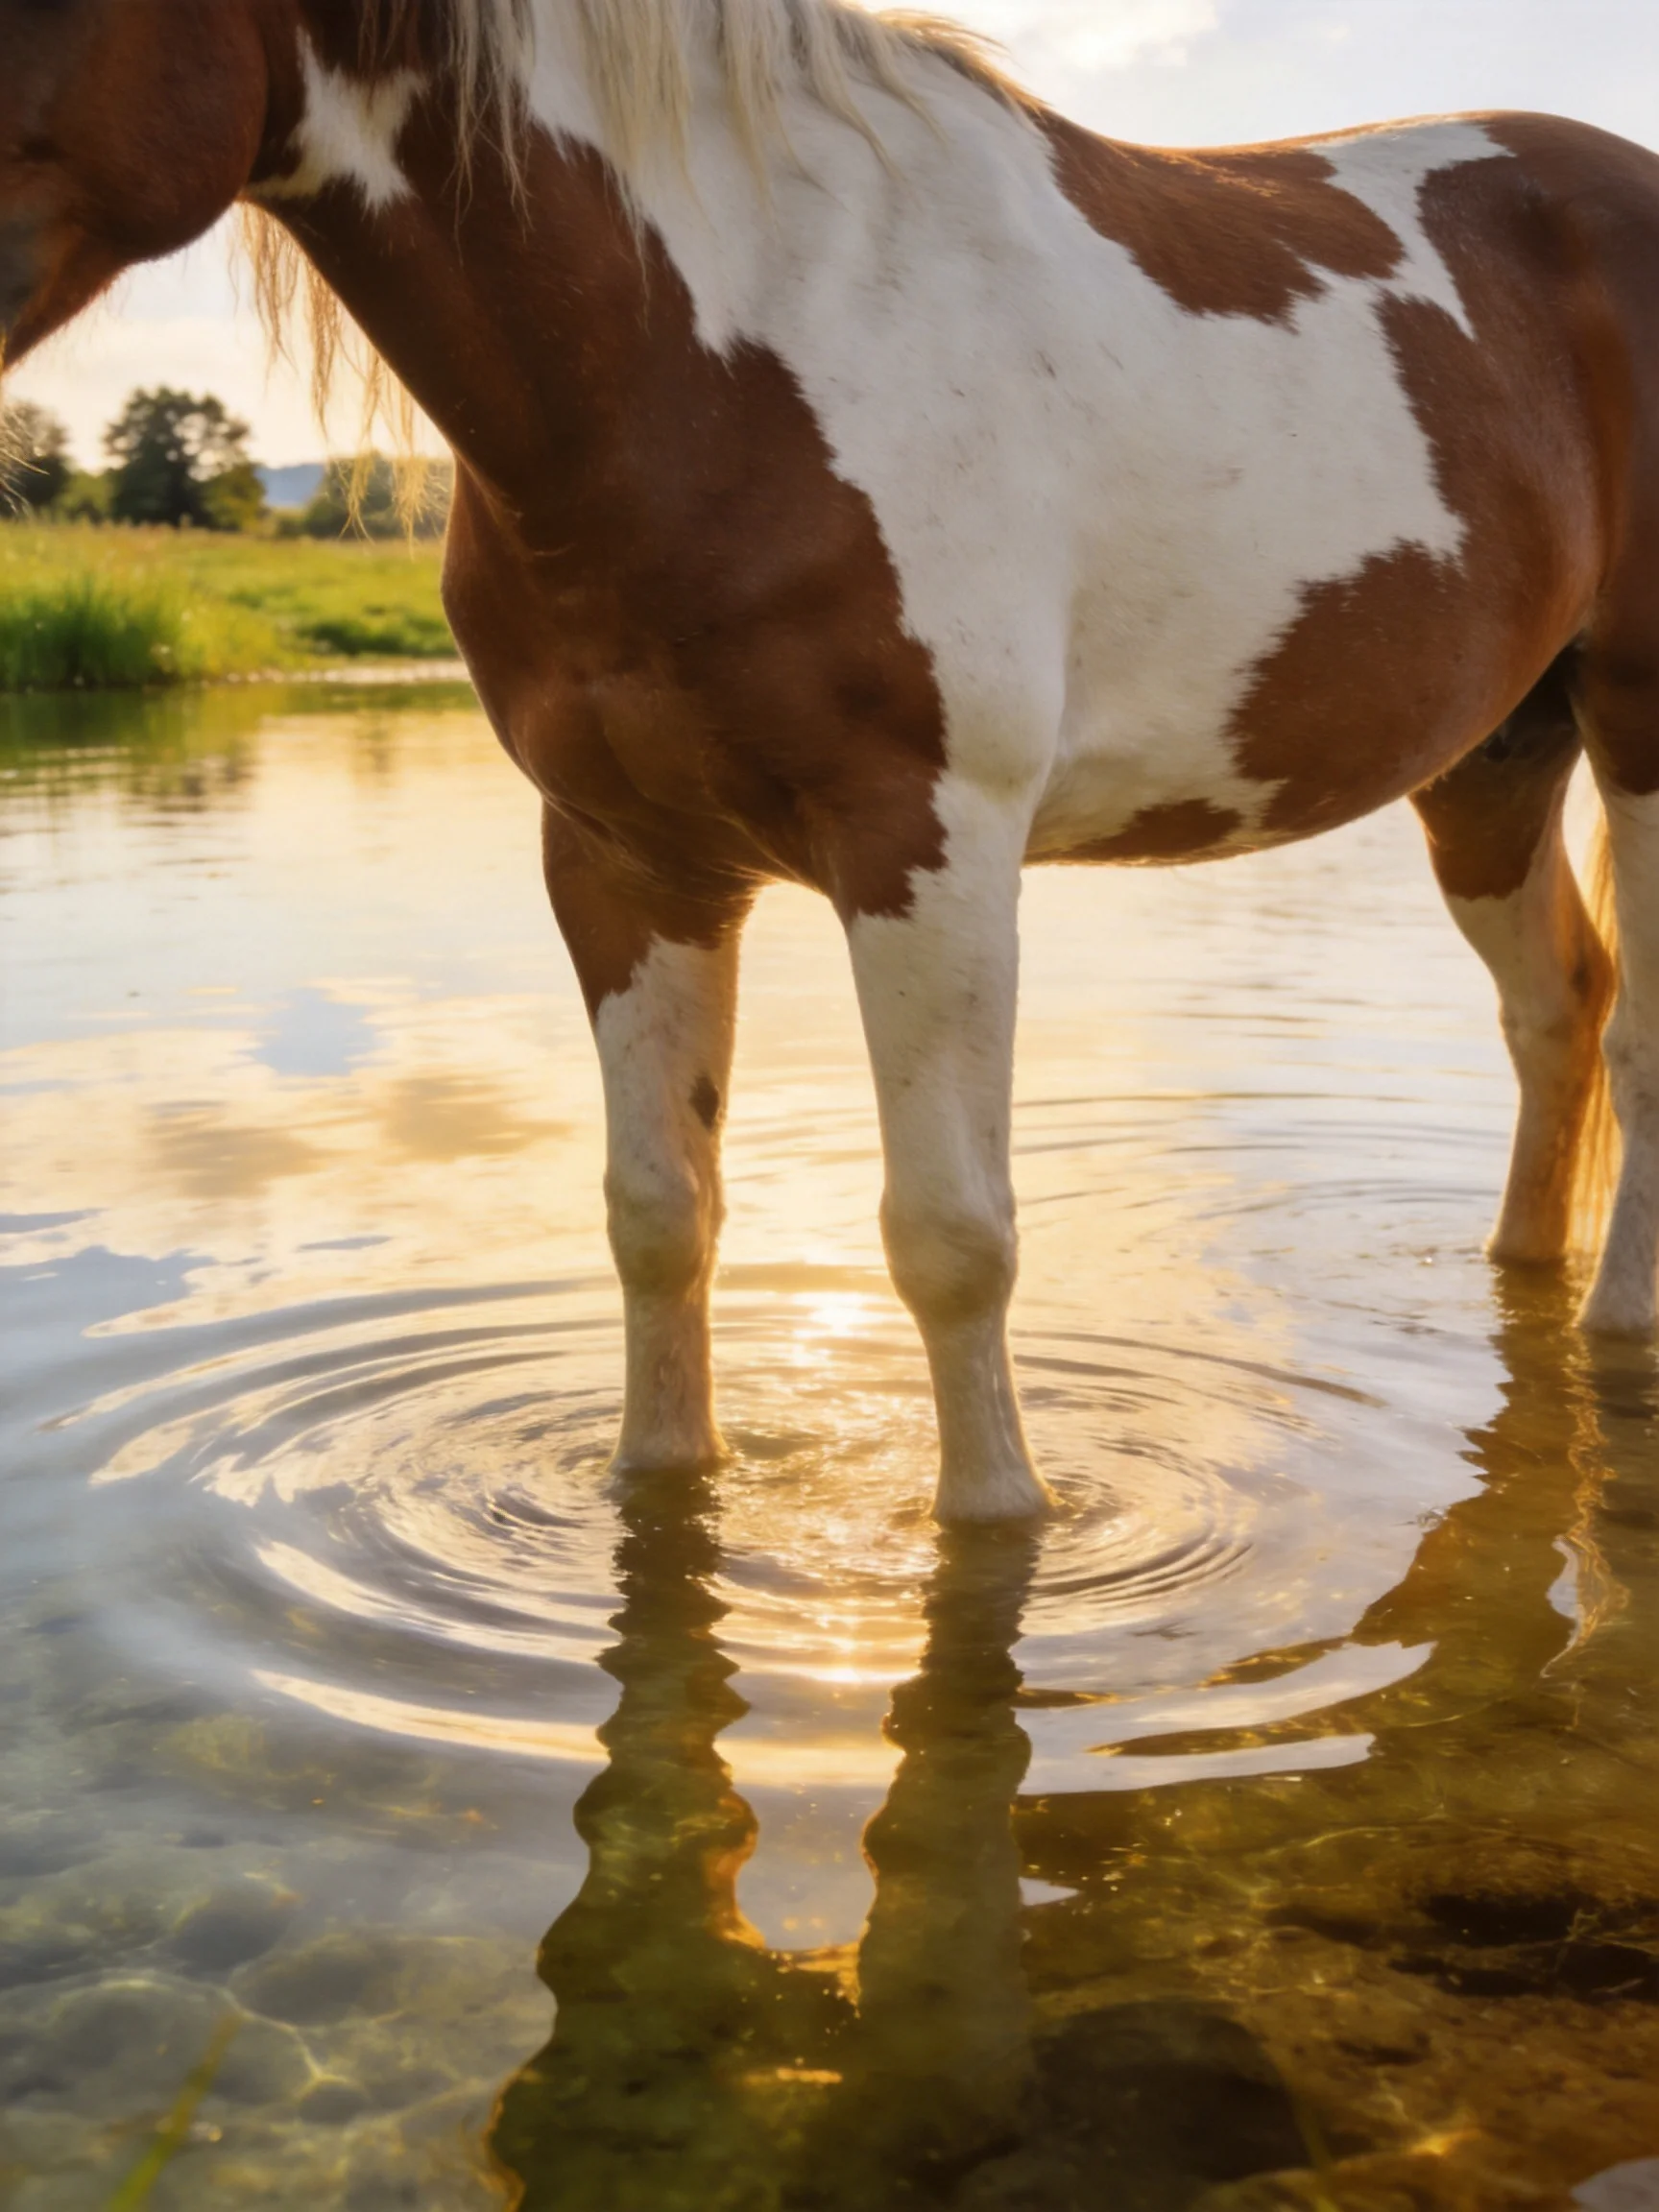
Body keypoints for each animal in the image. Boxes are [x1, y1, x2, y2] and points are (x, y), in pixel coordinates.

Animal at [6, 0, 1659, 1525]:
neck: (711, 347)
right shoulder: (624, 859)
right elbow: (659, 1215)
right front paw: (664, 1492)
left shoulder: (927, 848)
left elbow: (950, 1237)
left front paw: (996, 1523)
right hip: (1490, 759)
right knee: (1559, 1009)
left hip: (1633, 728)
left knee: (1631, 1032)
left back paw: (1618, 1332)